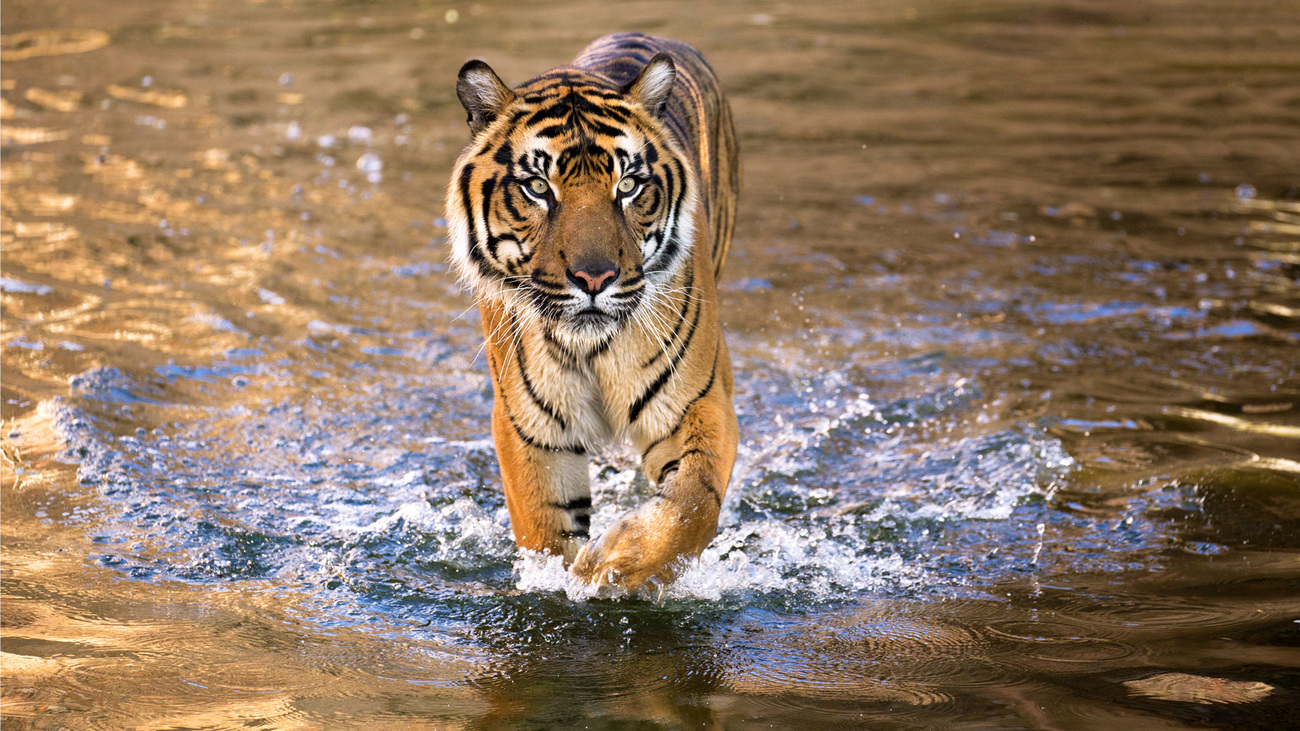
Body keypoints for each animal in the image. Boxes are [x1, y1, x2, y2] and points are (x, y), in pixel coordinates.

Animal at [447, 32, 738, 593]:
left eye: (627, 186)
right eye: (539, 187)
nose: (595, 279)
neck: (591, 346)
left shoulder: (698, 400)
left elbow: (691, 504)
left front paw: (613, 563)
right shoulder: (529, 426)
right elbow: (544, 529)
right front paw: (566, 575)